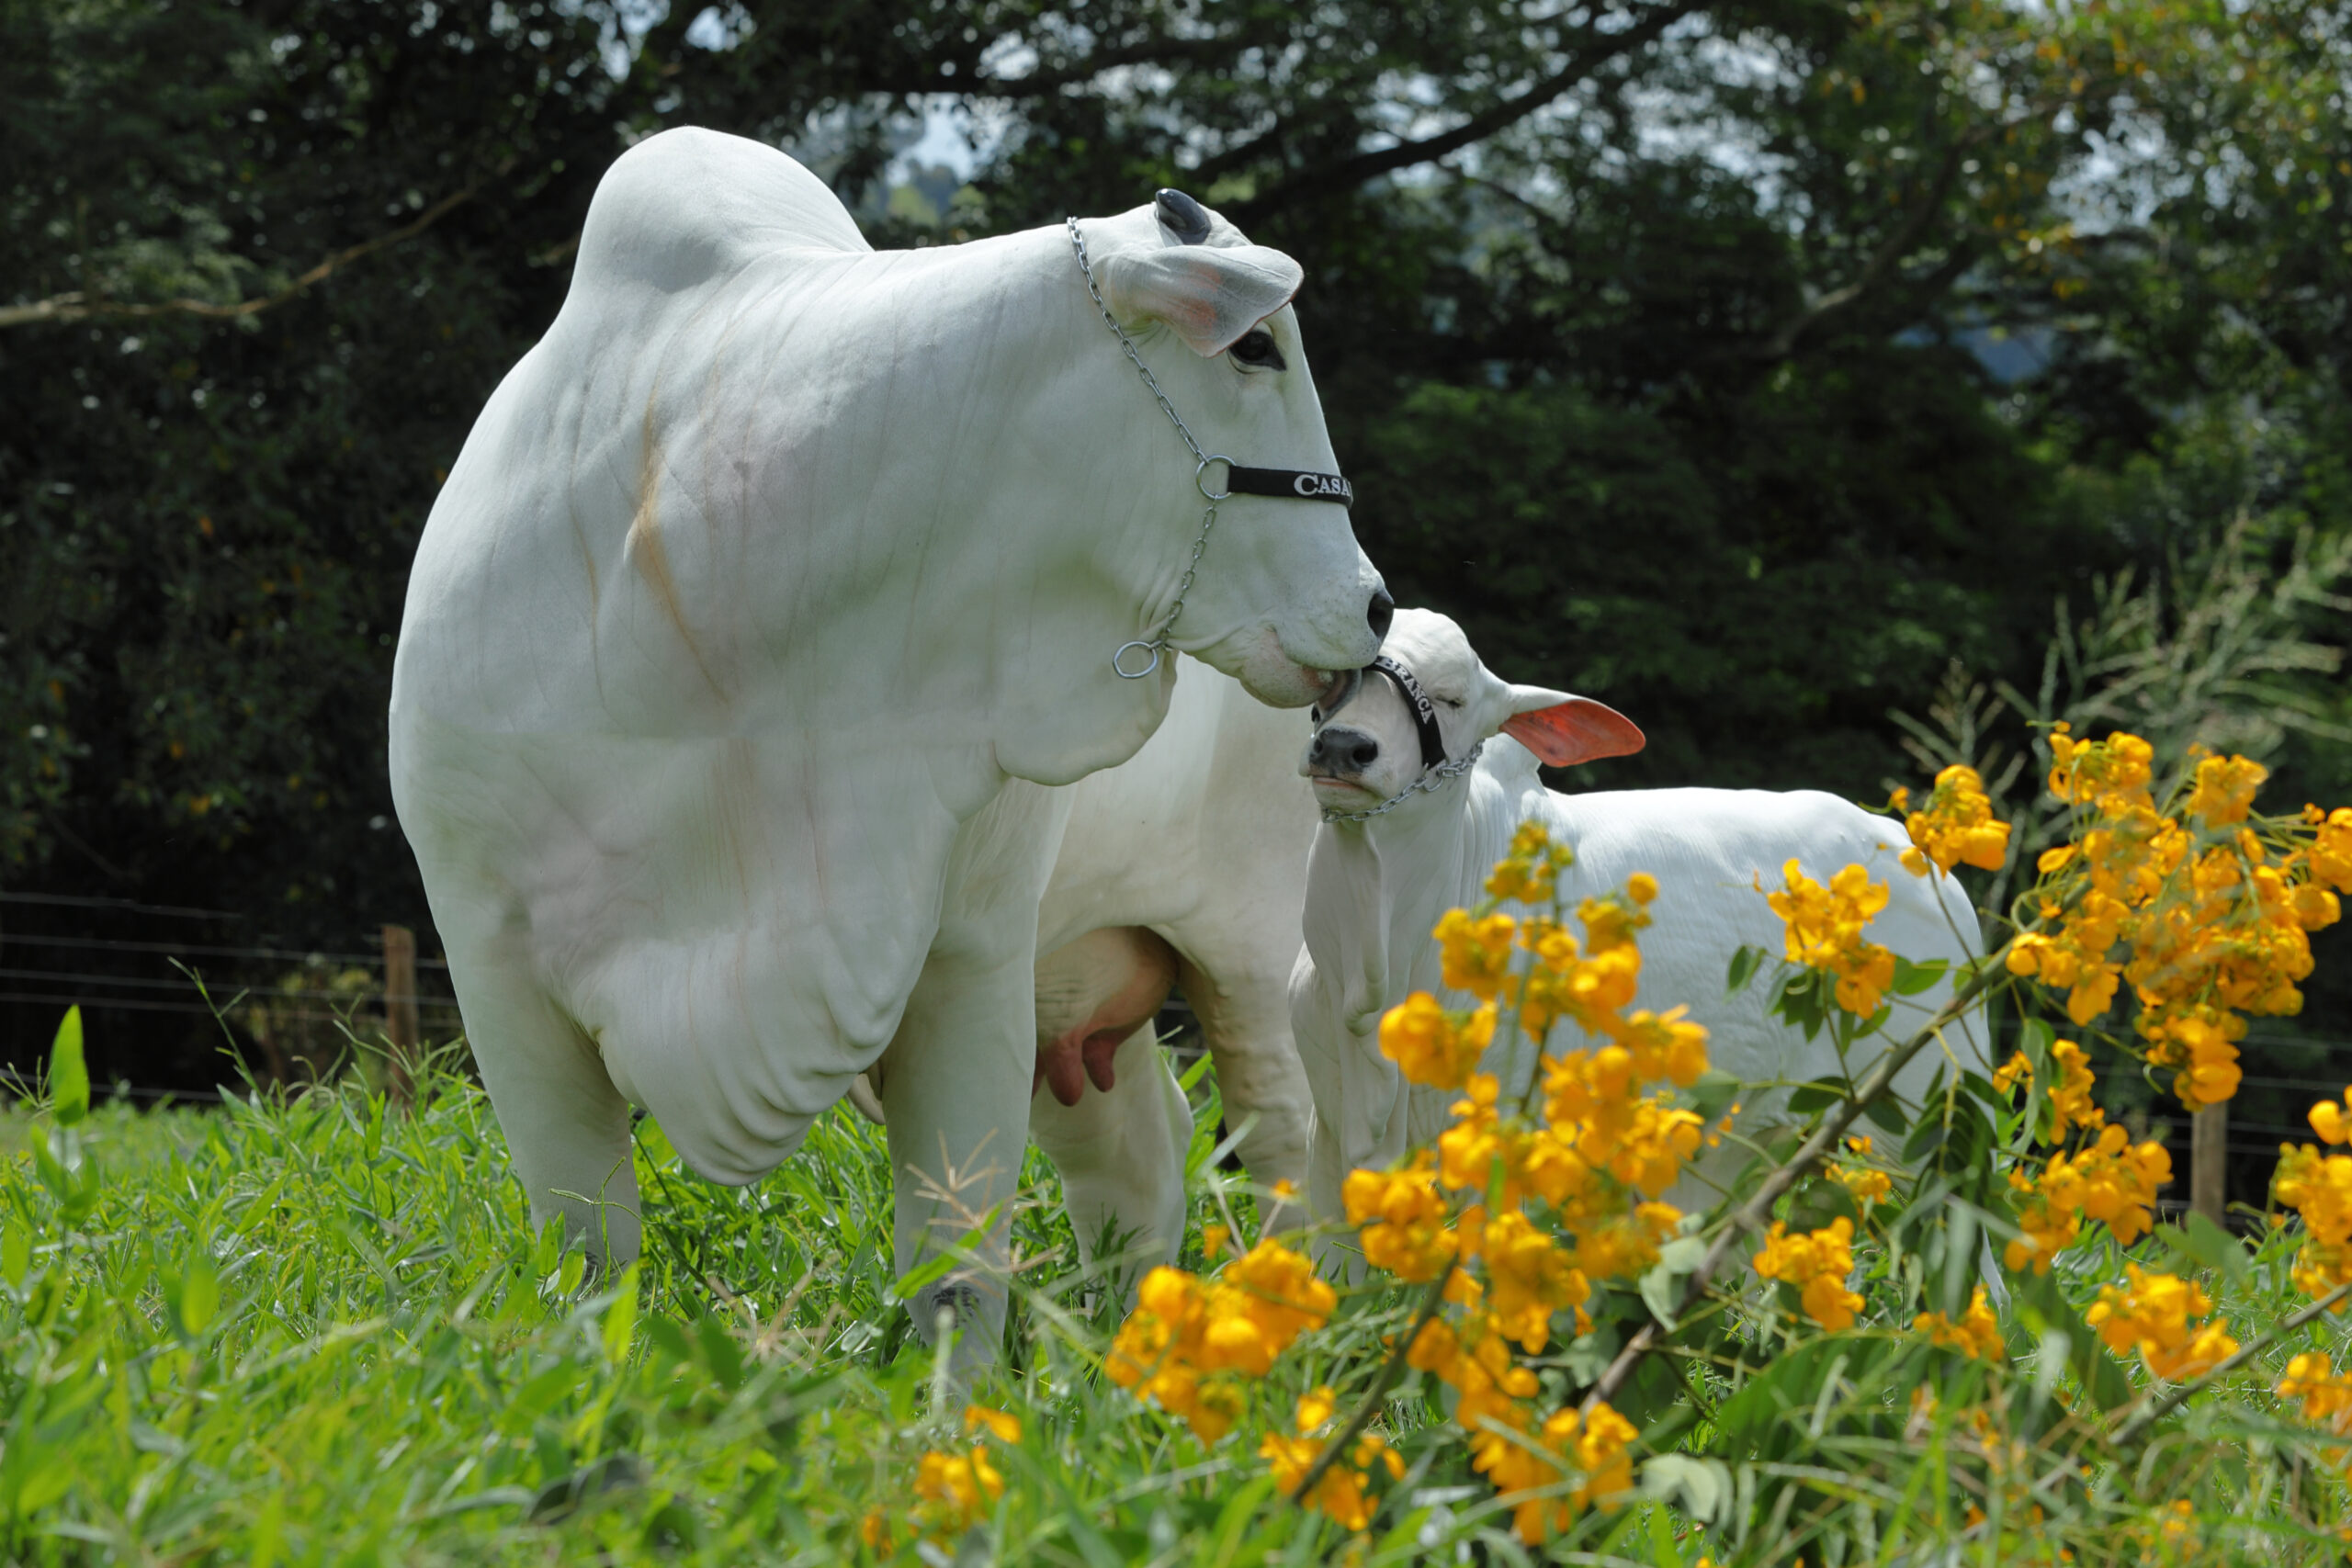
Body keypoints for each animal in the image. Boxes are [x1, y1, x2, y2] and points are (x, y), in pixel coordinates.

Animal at [383, 125, 1383, 1363]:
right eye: (1253, 345)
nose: (1372, 604)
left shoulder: (969, 958)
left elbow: (954, 1273)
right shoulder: (496, 974)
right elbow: (590, 1258)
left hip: (1248, 944)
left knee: (1284, 1140)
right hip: (1079, 994)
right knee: (1138, 1164)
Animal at [1288, 611, 1984, 1241]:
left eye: (1453, 698)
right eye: (1335, 679)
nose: (1345, 747)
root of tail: (1910, 847)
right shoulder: (1328, 1144)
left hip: (1931, 1126)